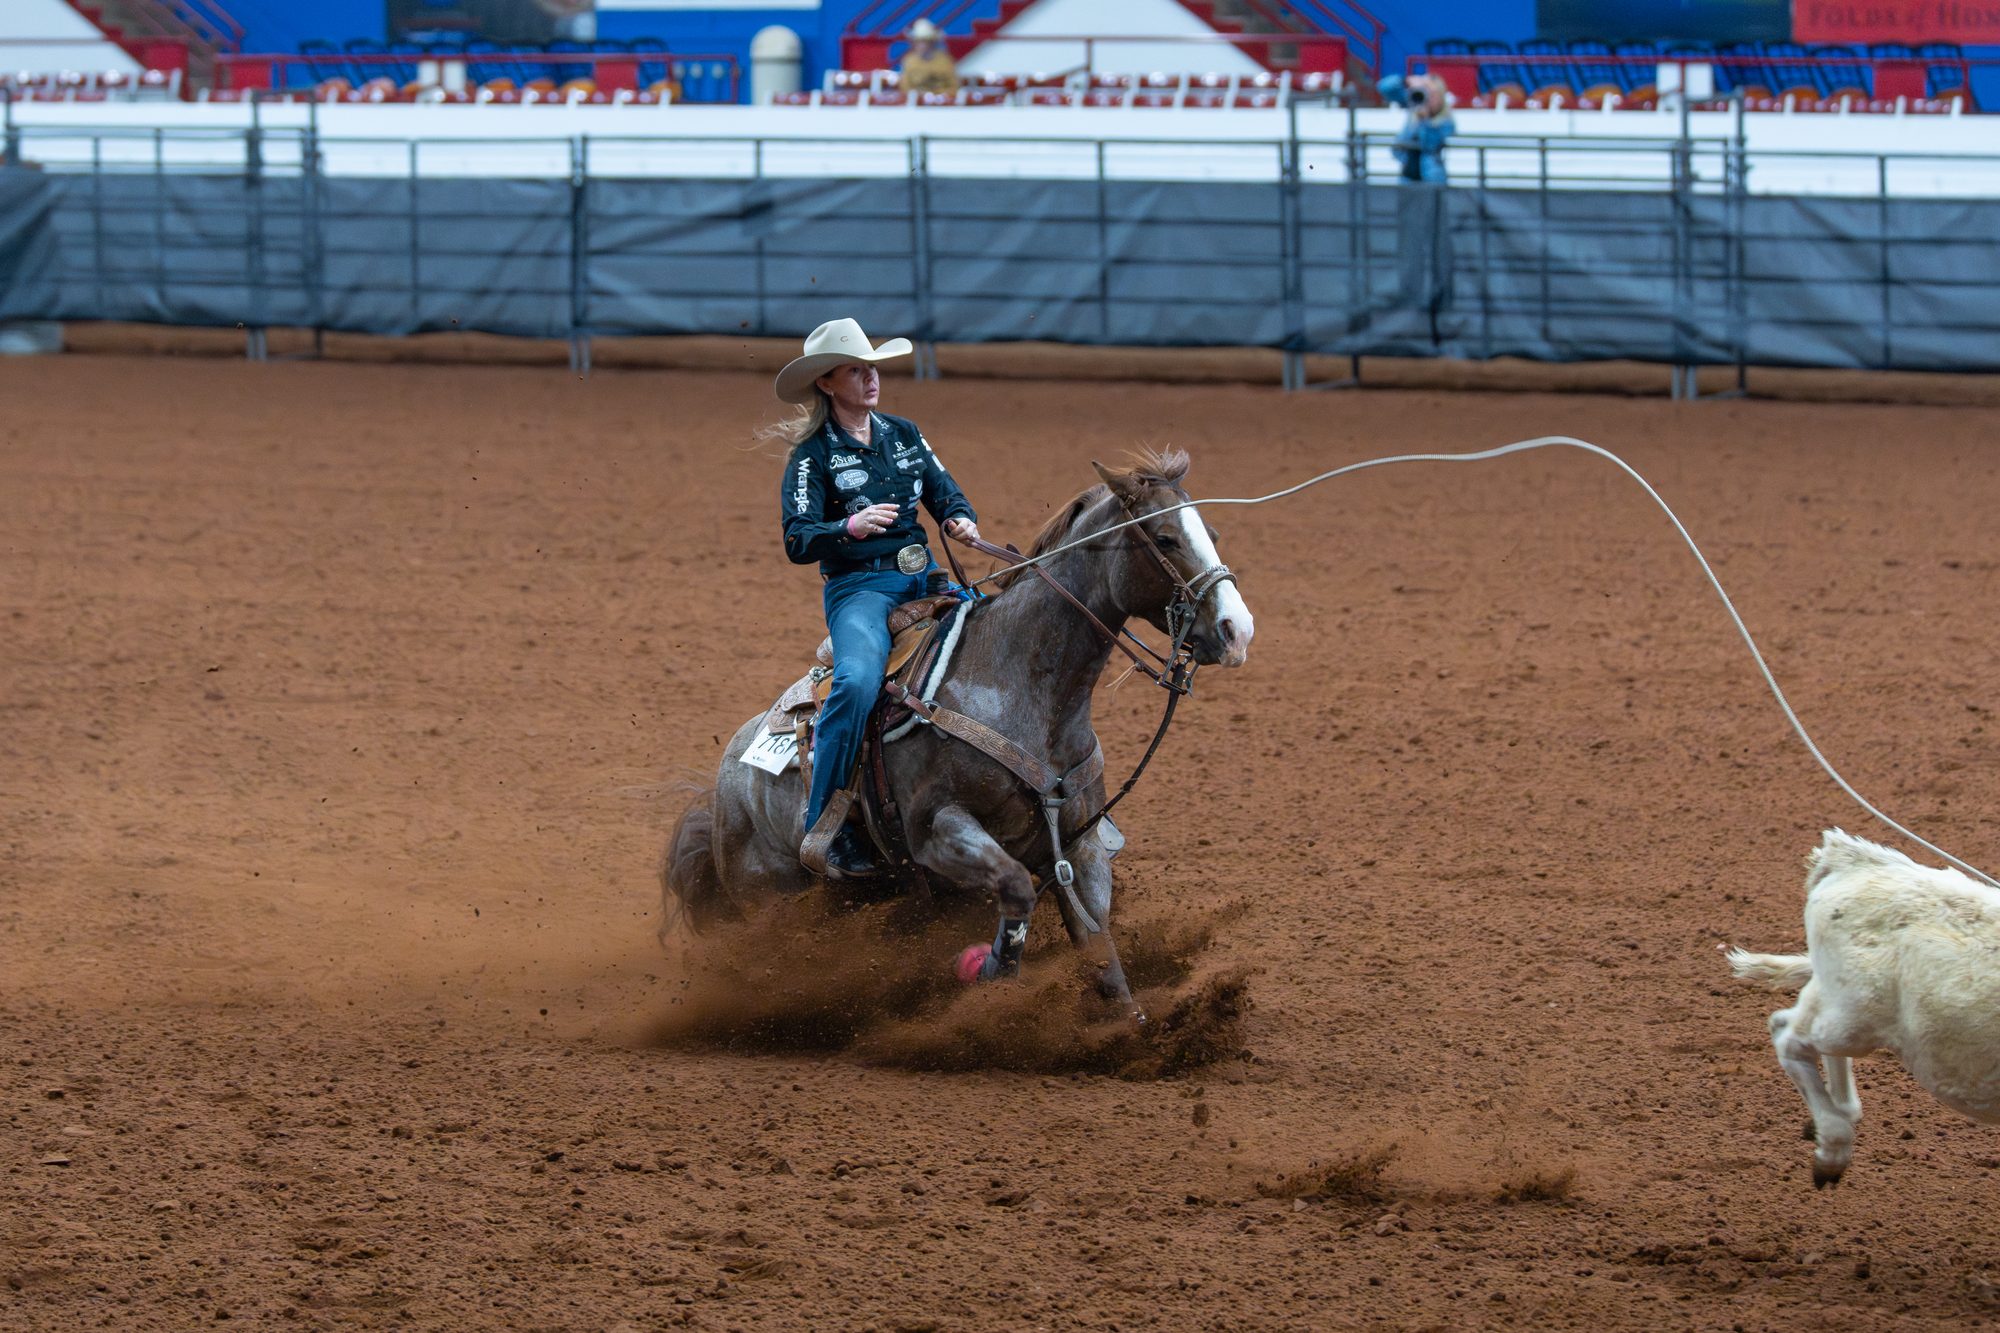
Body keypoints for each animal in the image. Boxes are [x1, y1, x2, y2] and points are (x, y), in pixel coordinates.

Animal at [661, 448, 1255, 1011]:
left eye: (1212, 533)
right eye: (1164, 537)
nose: (1237, 630)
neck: (1021, 686)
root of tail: (724, 784)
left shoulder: (1079, 845)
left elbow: (1099, 949)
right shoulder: (938, 828)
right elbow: (1016, 887)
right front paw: (989, 968)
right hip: (775, 897)